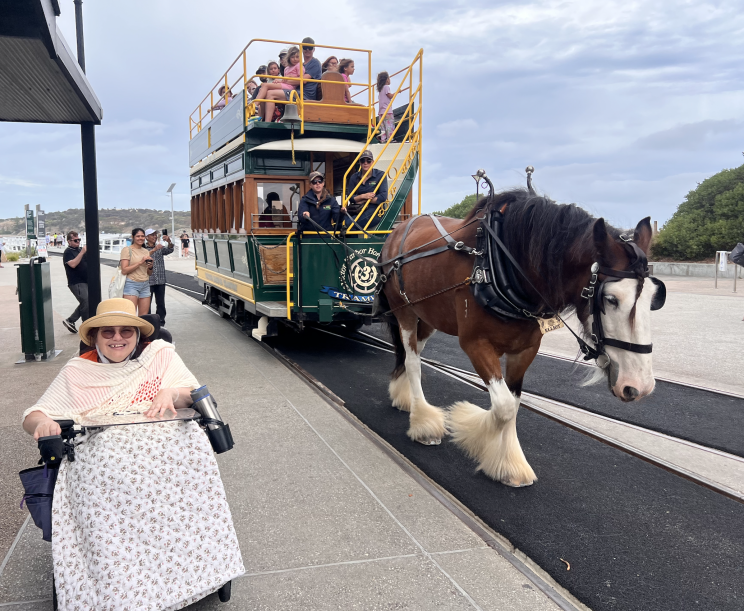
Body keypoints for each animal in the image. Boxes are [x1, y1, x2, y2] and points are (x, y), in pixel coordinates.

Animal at [377, 186, 664, 487]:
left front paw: (508, 464)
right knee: (412, 361)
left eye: (654, 298)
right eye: (610, 299)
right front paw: (472, 427)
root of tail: (398, 230)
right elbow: (502, 406)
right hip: (404, 311)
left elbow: (512, 403)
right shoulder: (475, 344)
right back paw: (423, 422)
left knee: (413, 353)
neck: (501, 265)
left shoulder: (525, 350)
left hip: (429, 315)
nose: (640, 386)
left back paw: (404, 397)